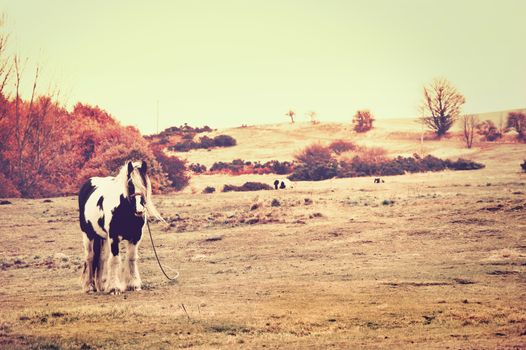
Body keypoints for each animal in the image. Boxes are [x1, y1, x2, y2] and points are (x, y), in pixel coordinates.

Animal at [78, 161, 163, 296]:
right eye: (130, 184)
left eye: (144, 184)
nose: (139, 210)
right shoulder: (113, 237)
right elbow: (114, 260)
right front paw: (114, 288)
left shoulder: (135, 237)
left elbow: (131, 258)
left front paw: (133, 285)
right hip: (88, 235)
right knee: (90, 257)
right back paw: (90, 287)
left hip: (102, 237)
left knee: (101, 258)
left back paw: (101, 286)